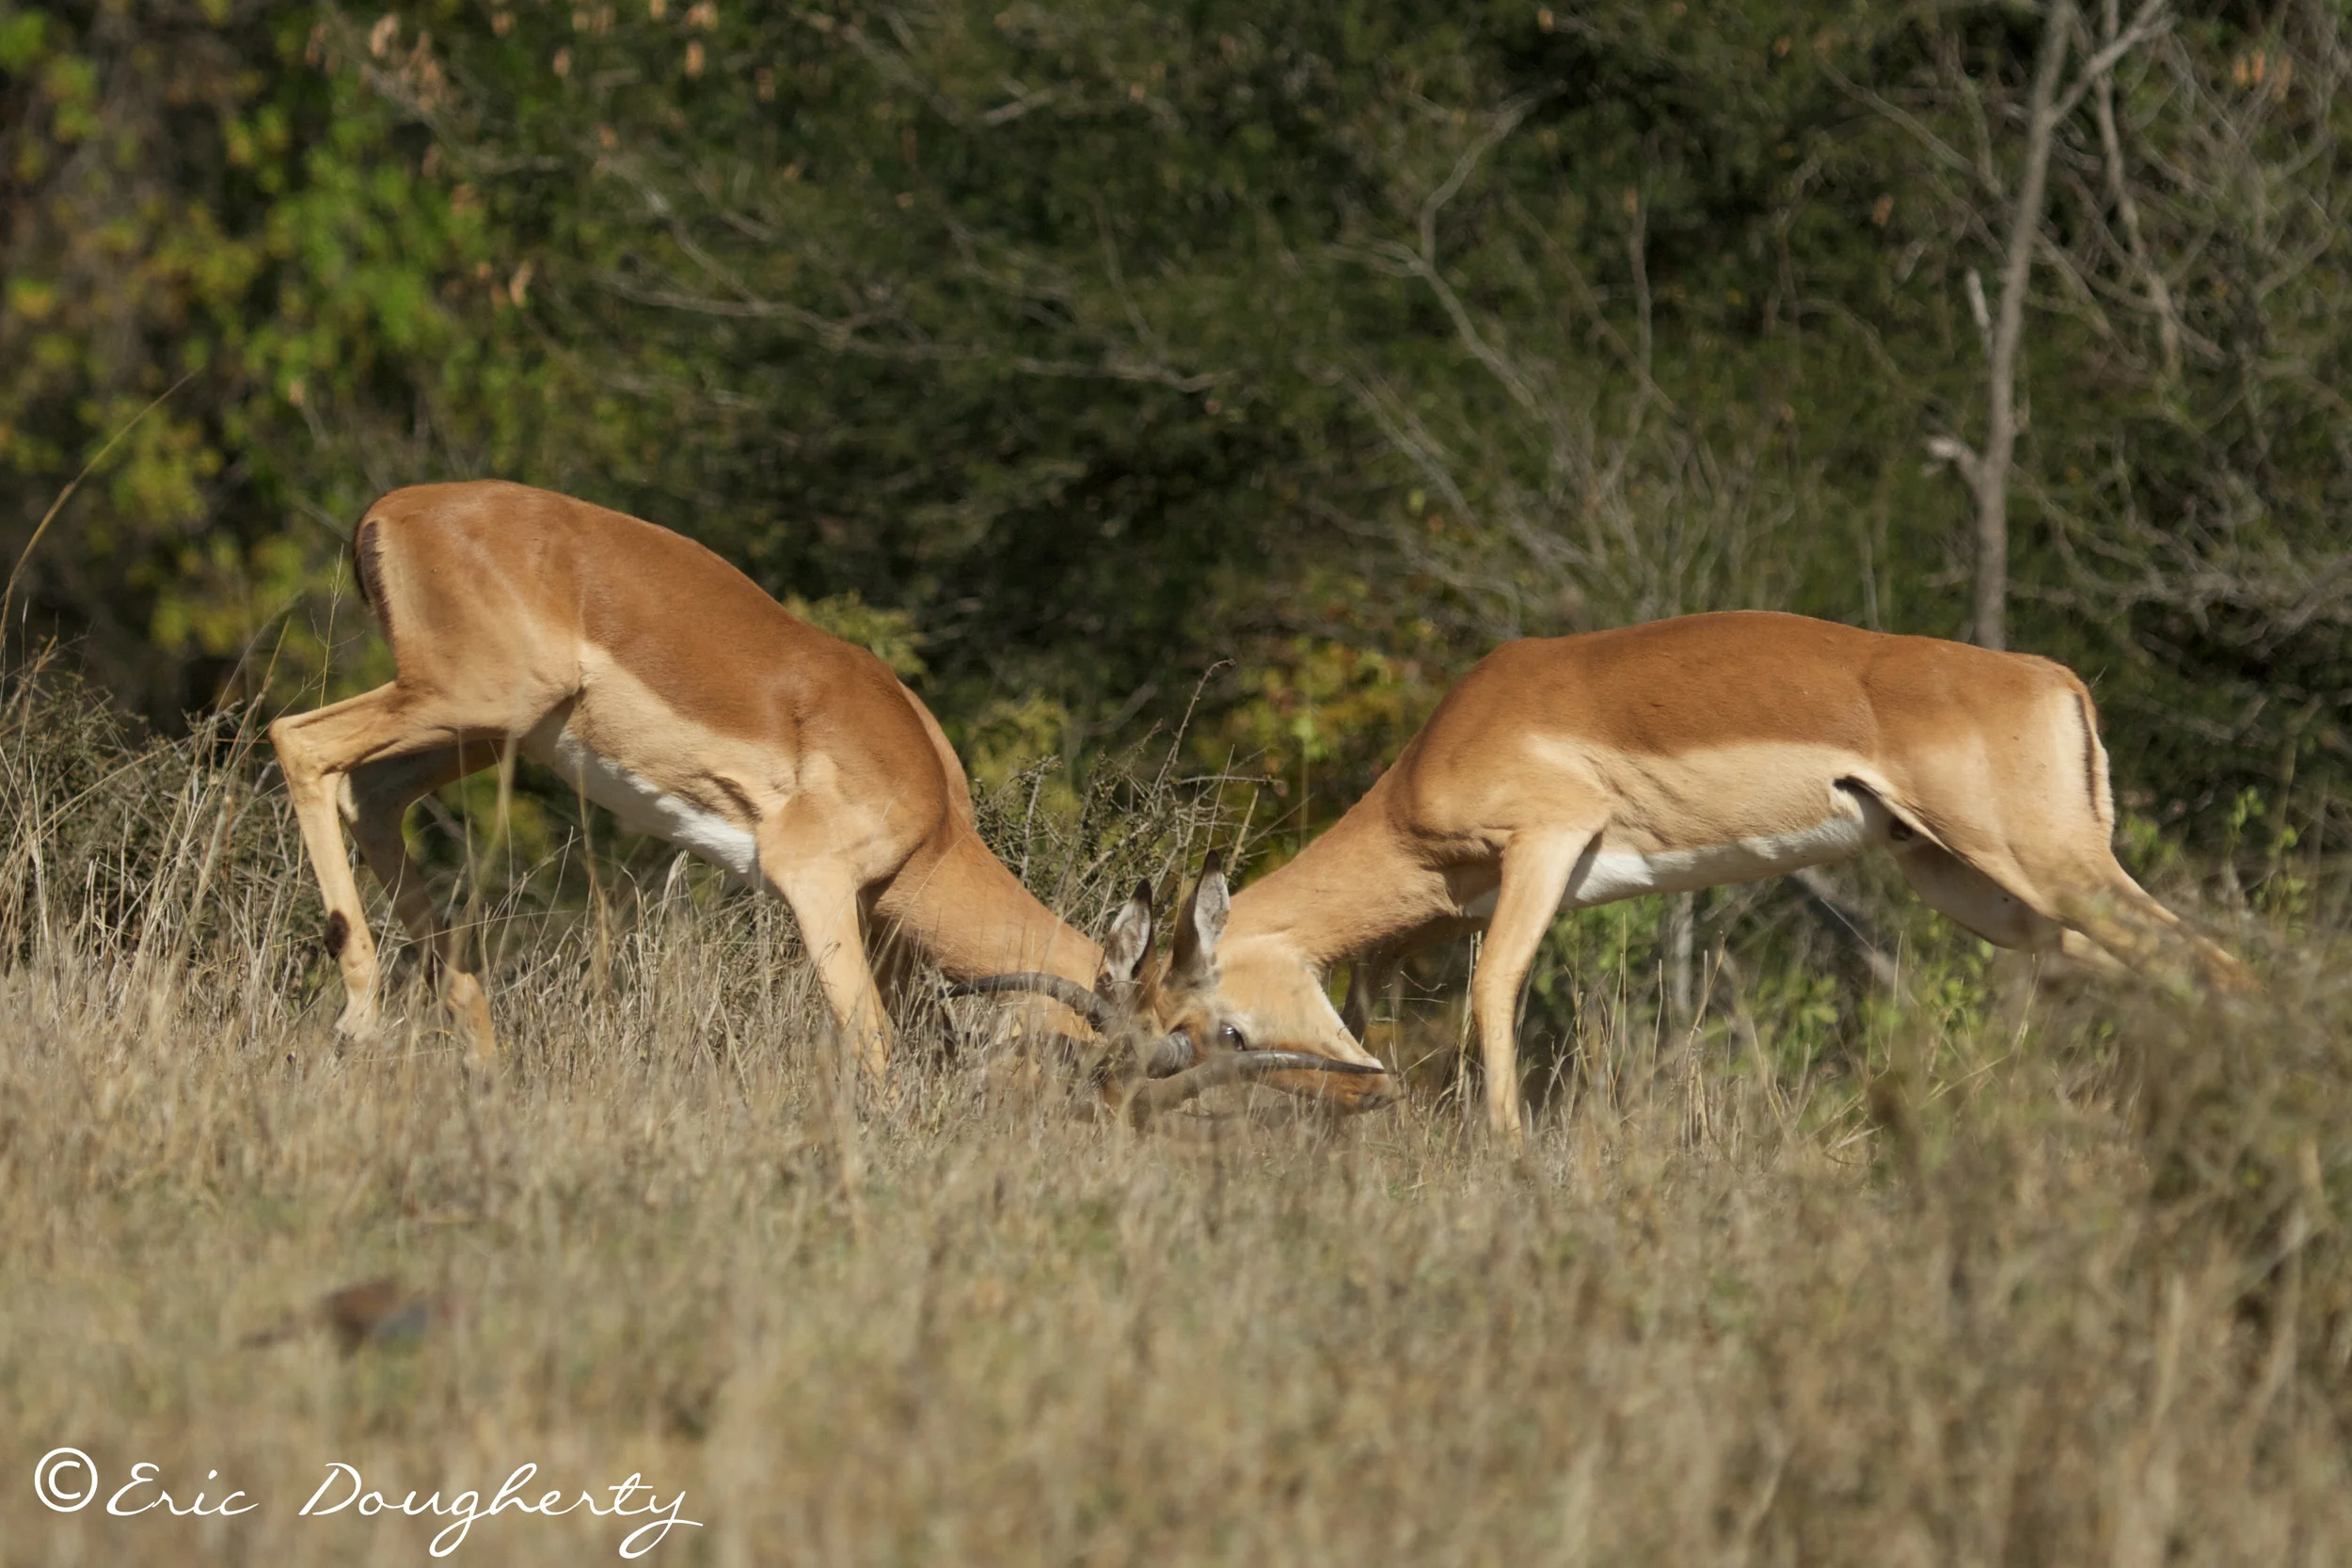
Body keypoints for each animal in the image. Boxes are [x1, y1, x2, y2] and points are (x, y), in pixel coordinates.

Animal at [267, 480, 1387, 1107]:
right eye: (1220, 1030)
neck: (931, 814)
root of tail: (389, 510)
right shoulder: (810, 881)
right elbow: (875, 1047)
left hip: (477, 732)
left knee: (372, 797)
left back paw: (475, 1054)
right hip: (468, 703)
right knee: (299, 739)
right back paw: (358, 1016)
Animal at [1189, 611, 2251, 1140]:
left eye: (1220, 1023)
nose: (1359, 1100)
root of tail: (2055, 678)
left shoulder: (1547, 843)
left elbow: (1493, 991)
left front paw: (1509, 1154)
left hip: (2044, 866)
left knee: (2217, 967)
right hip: (1982, 890)